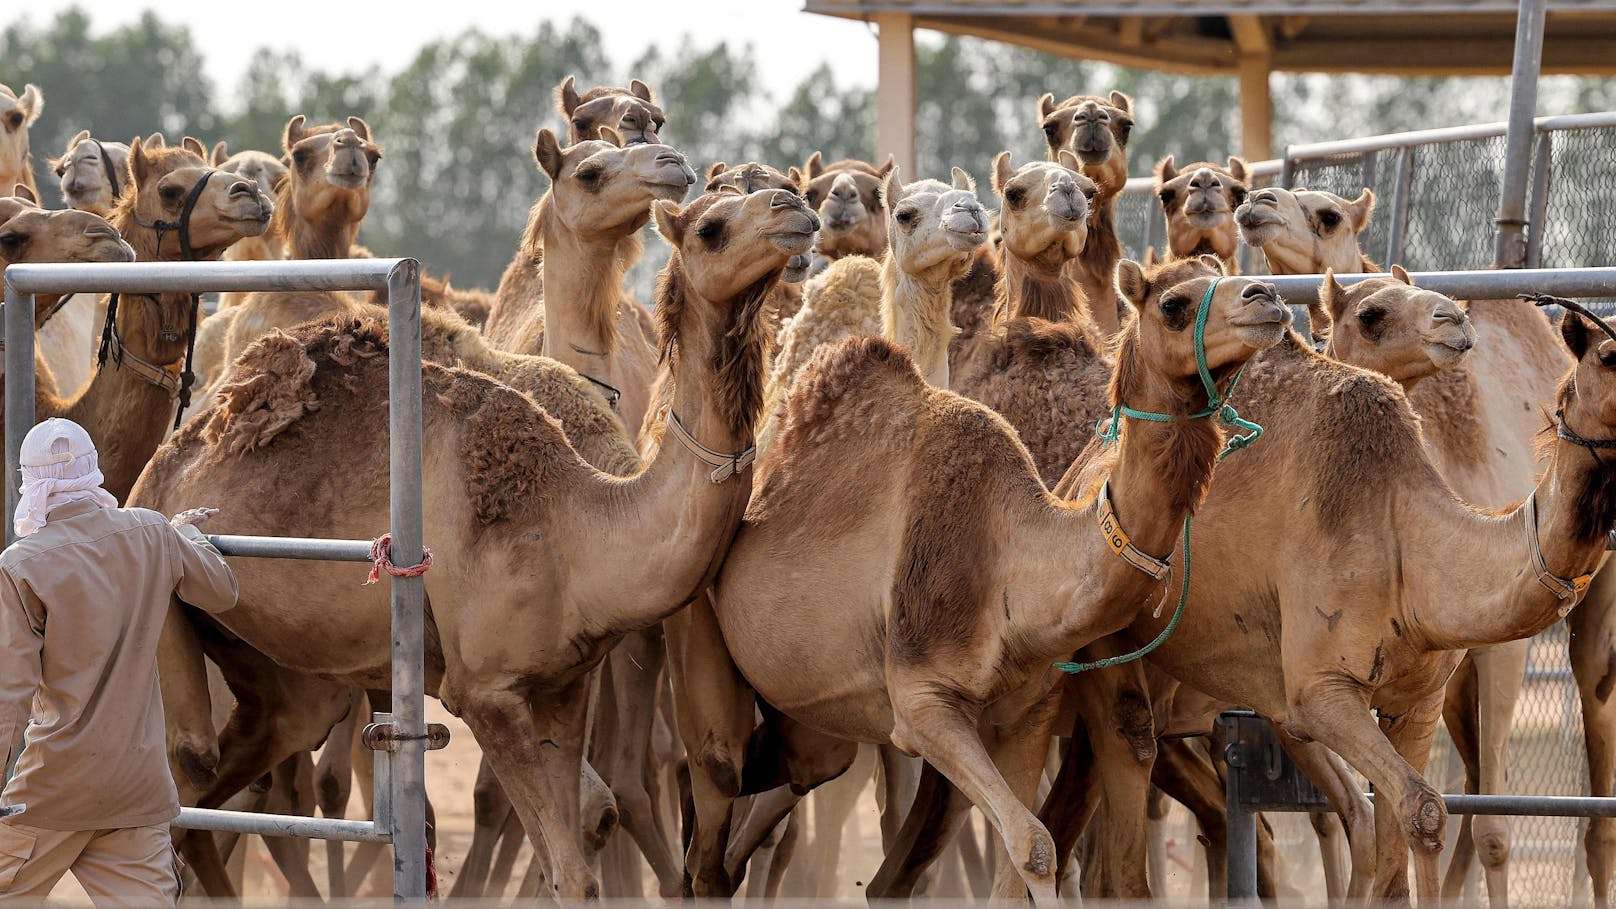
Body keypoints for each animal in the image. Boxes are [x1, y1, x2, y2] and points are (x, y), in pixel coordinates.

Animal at [135, 180, 820, 892]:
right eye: (712, 228)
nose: (793, 206)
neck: (579, 528)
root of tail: (169, 457)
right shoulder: (485, 692)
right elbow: (565, 863)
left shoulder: (563, 687)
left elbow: (574, 859)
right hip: (164, 582)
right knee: (189, 763)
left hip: (276, 657)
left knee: (264, 740)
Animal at [675, 255, 1292, 899]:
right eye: (1173, 305)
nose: (1267, 296)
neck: (1013, 571)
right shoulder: (922, 700)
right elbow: (1032, 843)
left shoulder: (1025, 716)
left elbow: (1029, 856)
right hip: (696, 614)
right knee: (715, 783)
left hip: (812, 720)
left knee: (784, 778)